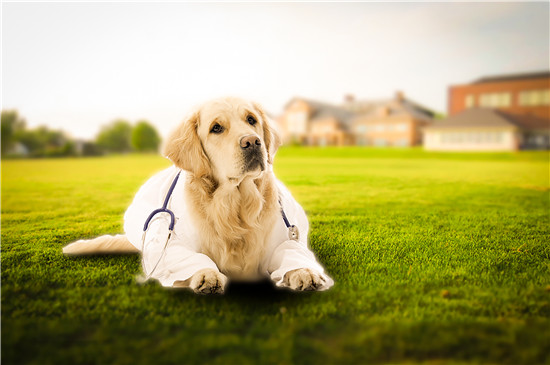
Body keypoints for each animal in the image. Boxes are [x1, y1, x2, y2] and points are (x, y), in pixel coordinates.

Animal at [62, 96, 334, 292]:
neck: (235, 205)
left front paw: (304, 272)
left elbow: (291, 252)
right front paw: (207, 274)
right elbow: (191, 258)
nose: (253, 142)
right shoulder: (169, 246)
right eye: (216, 128)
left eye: (251, 119)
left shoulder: (283, 238)